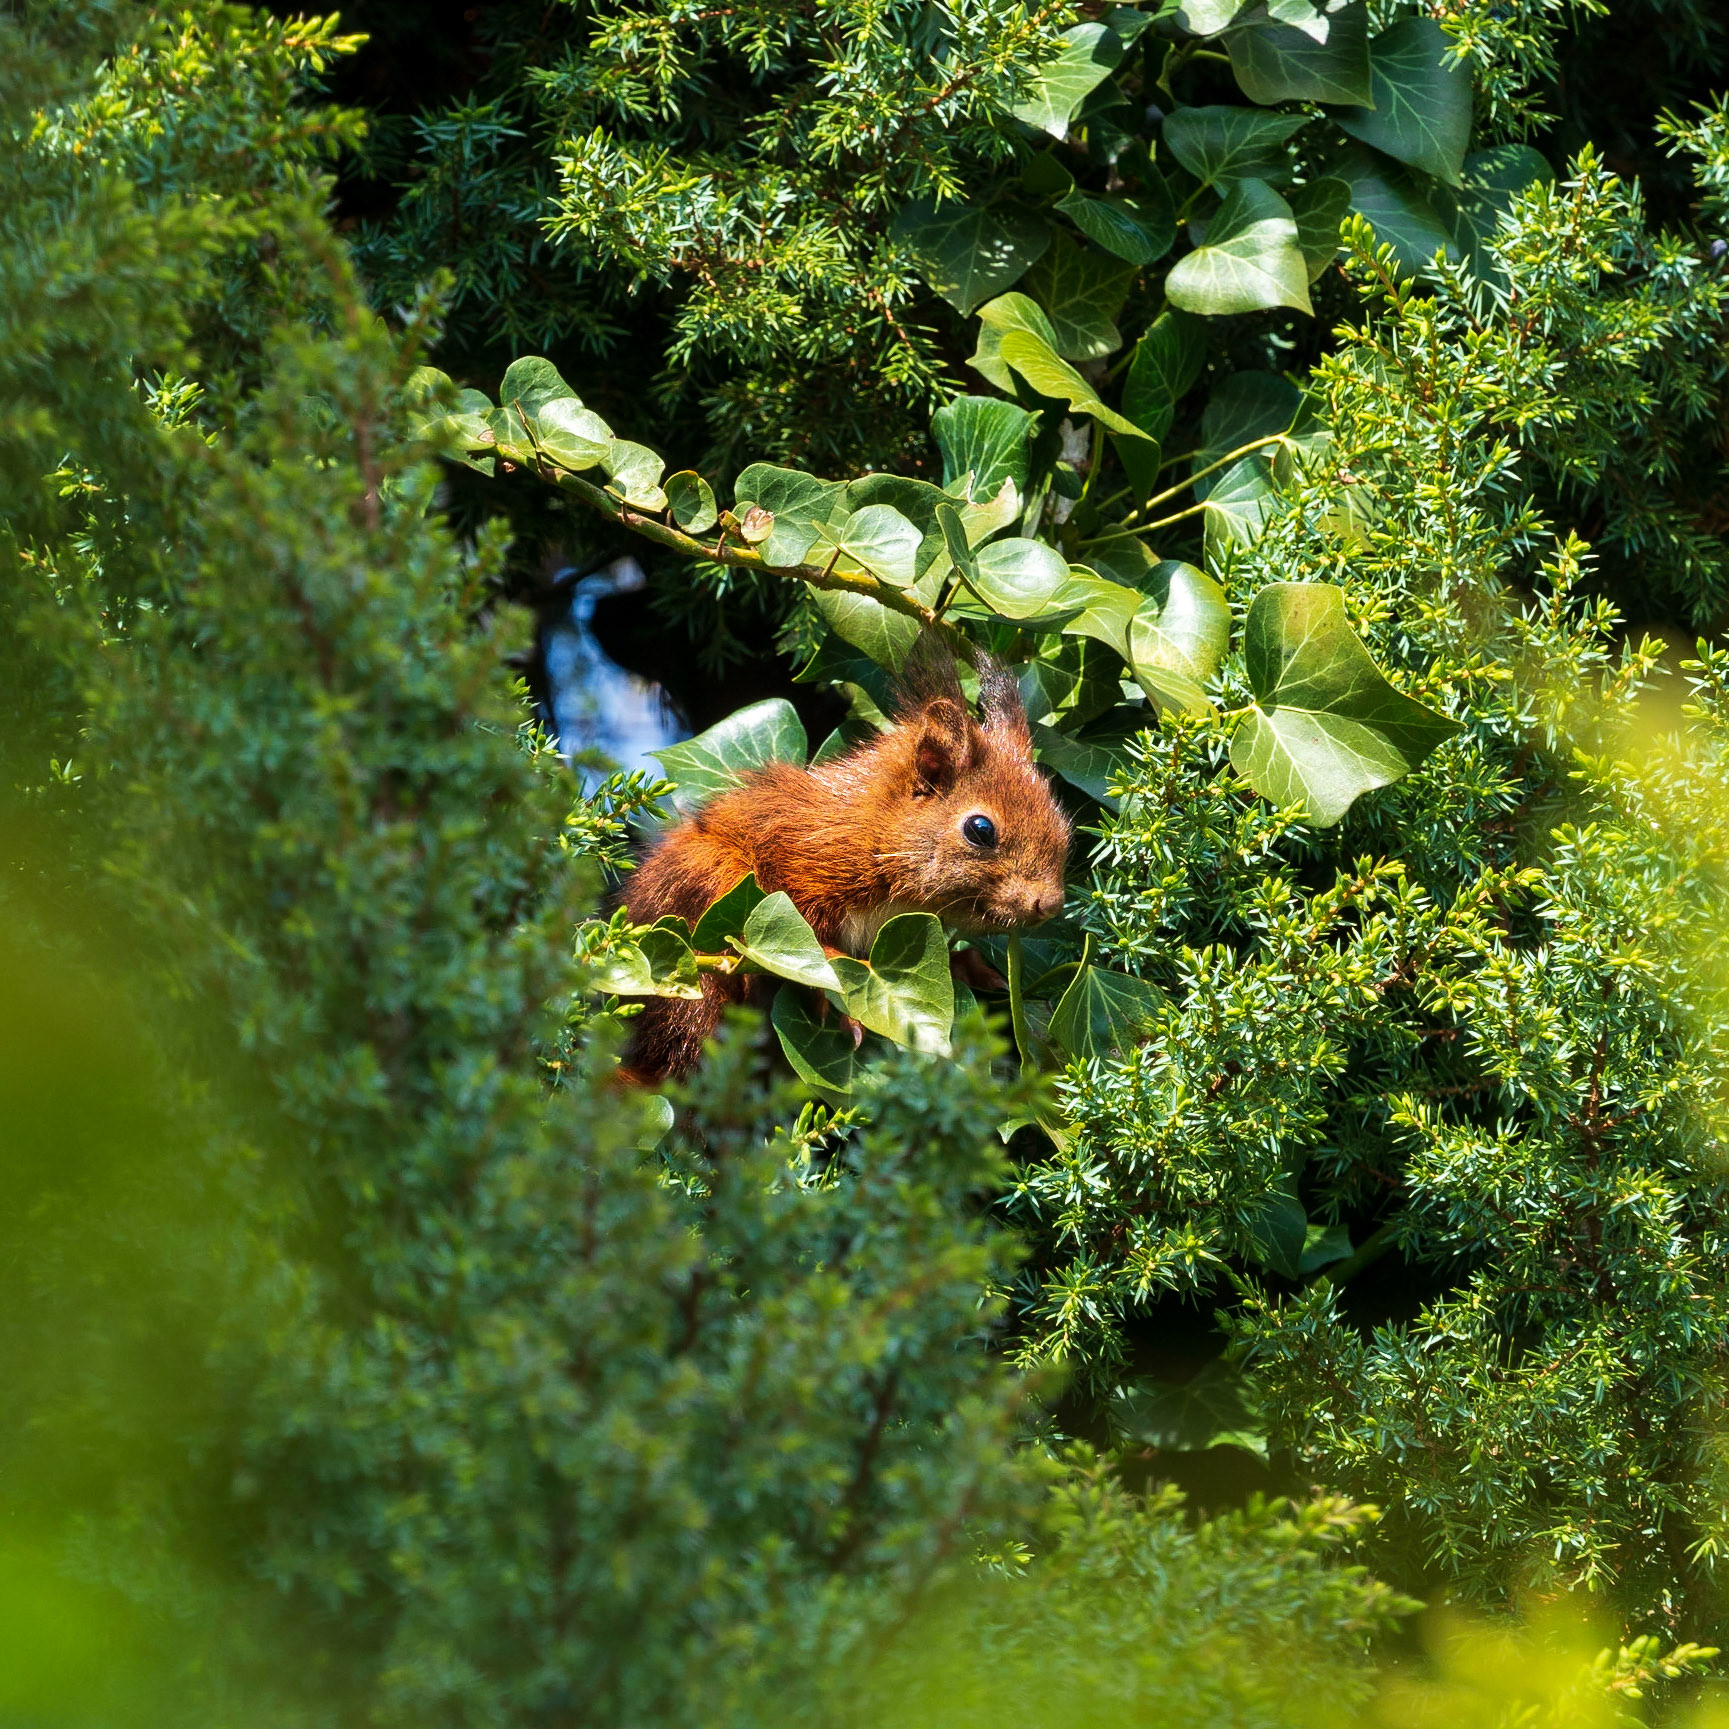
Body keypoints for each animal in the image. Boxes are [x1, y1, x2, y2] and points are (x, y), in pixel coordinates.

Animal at [619, 654, 1071, 1080]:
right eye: (980, 829)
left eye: (1064, 825)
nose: (1049, 904)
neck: (873, 831)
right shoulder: (801, 861)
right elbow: (803, 934)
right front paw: (842, 974)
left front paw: (965, 965)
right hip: (708, 881)